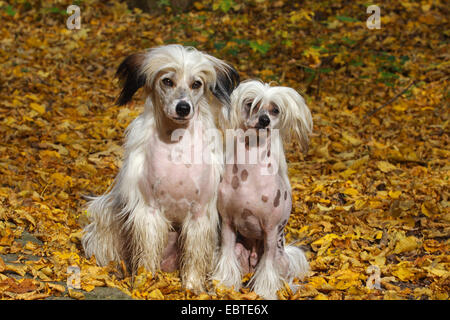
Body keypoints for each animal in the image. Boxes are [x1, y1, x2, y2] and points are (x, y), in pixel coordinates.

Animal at [83, 44, 241, 292]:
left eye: (196, 84)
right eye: (167, 81)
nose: (183, 108)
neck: (175, 144)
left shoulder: (200, 214)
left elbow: (194, 256)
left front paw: (193, 287)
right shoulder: (149, 211)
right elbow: (147, 254)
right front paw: (145, 282)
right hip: (105, 213)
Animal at [214, 79, 312, 298]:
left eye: (275, 110)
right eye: (251, 104)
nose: (264, 120)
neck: (248, 175)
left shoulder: (270, 230)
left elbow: (267, 265)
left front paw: (265, 291)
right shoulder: (227, 224)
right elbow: (226, 255)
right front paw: (224, 284)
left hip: (281, 258)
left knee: (281, 274)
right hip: (241, 250)